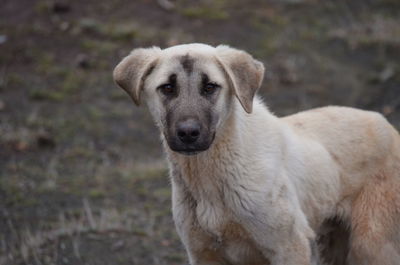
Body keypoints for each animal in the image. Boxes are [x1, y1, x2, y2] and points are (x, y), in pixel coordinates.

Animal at [112, 43, 400, 264]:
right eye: (167, 88)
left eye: (210, 87)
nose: (188, 133)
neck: (210, 181)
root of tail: (388, 125)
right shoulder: (203, 253)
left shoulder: (290, 247)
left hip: (371, 245)